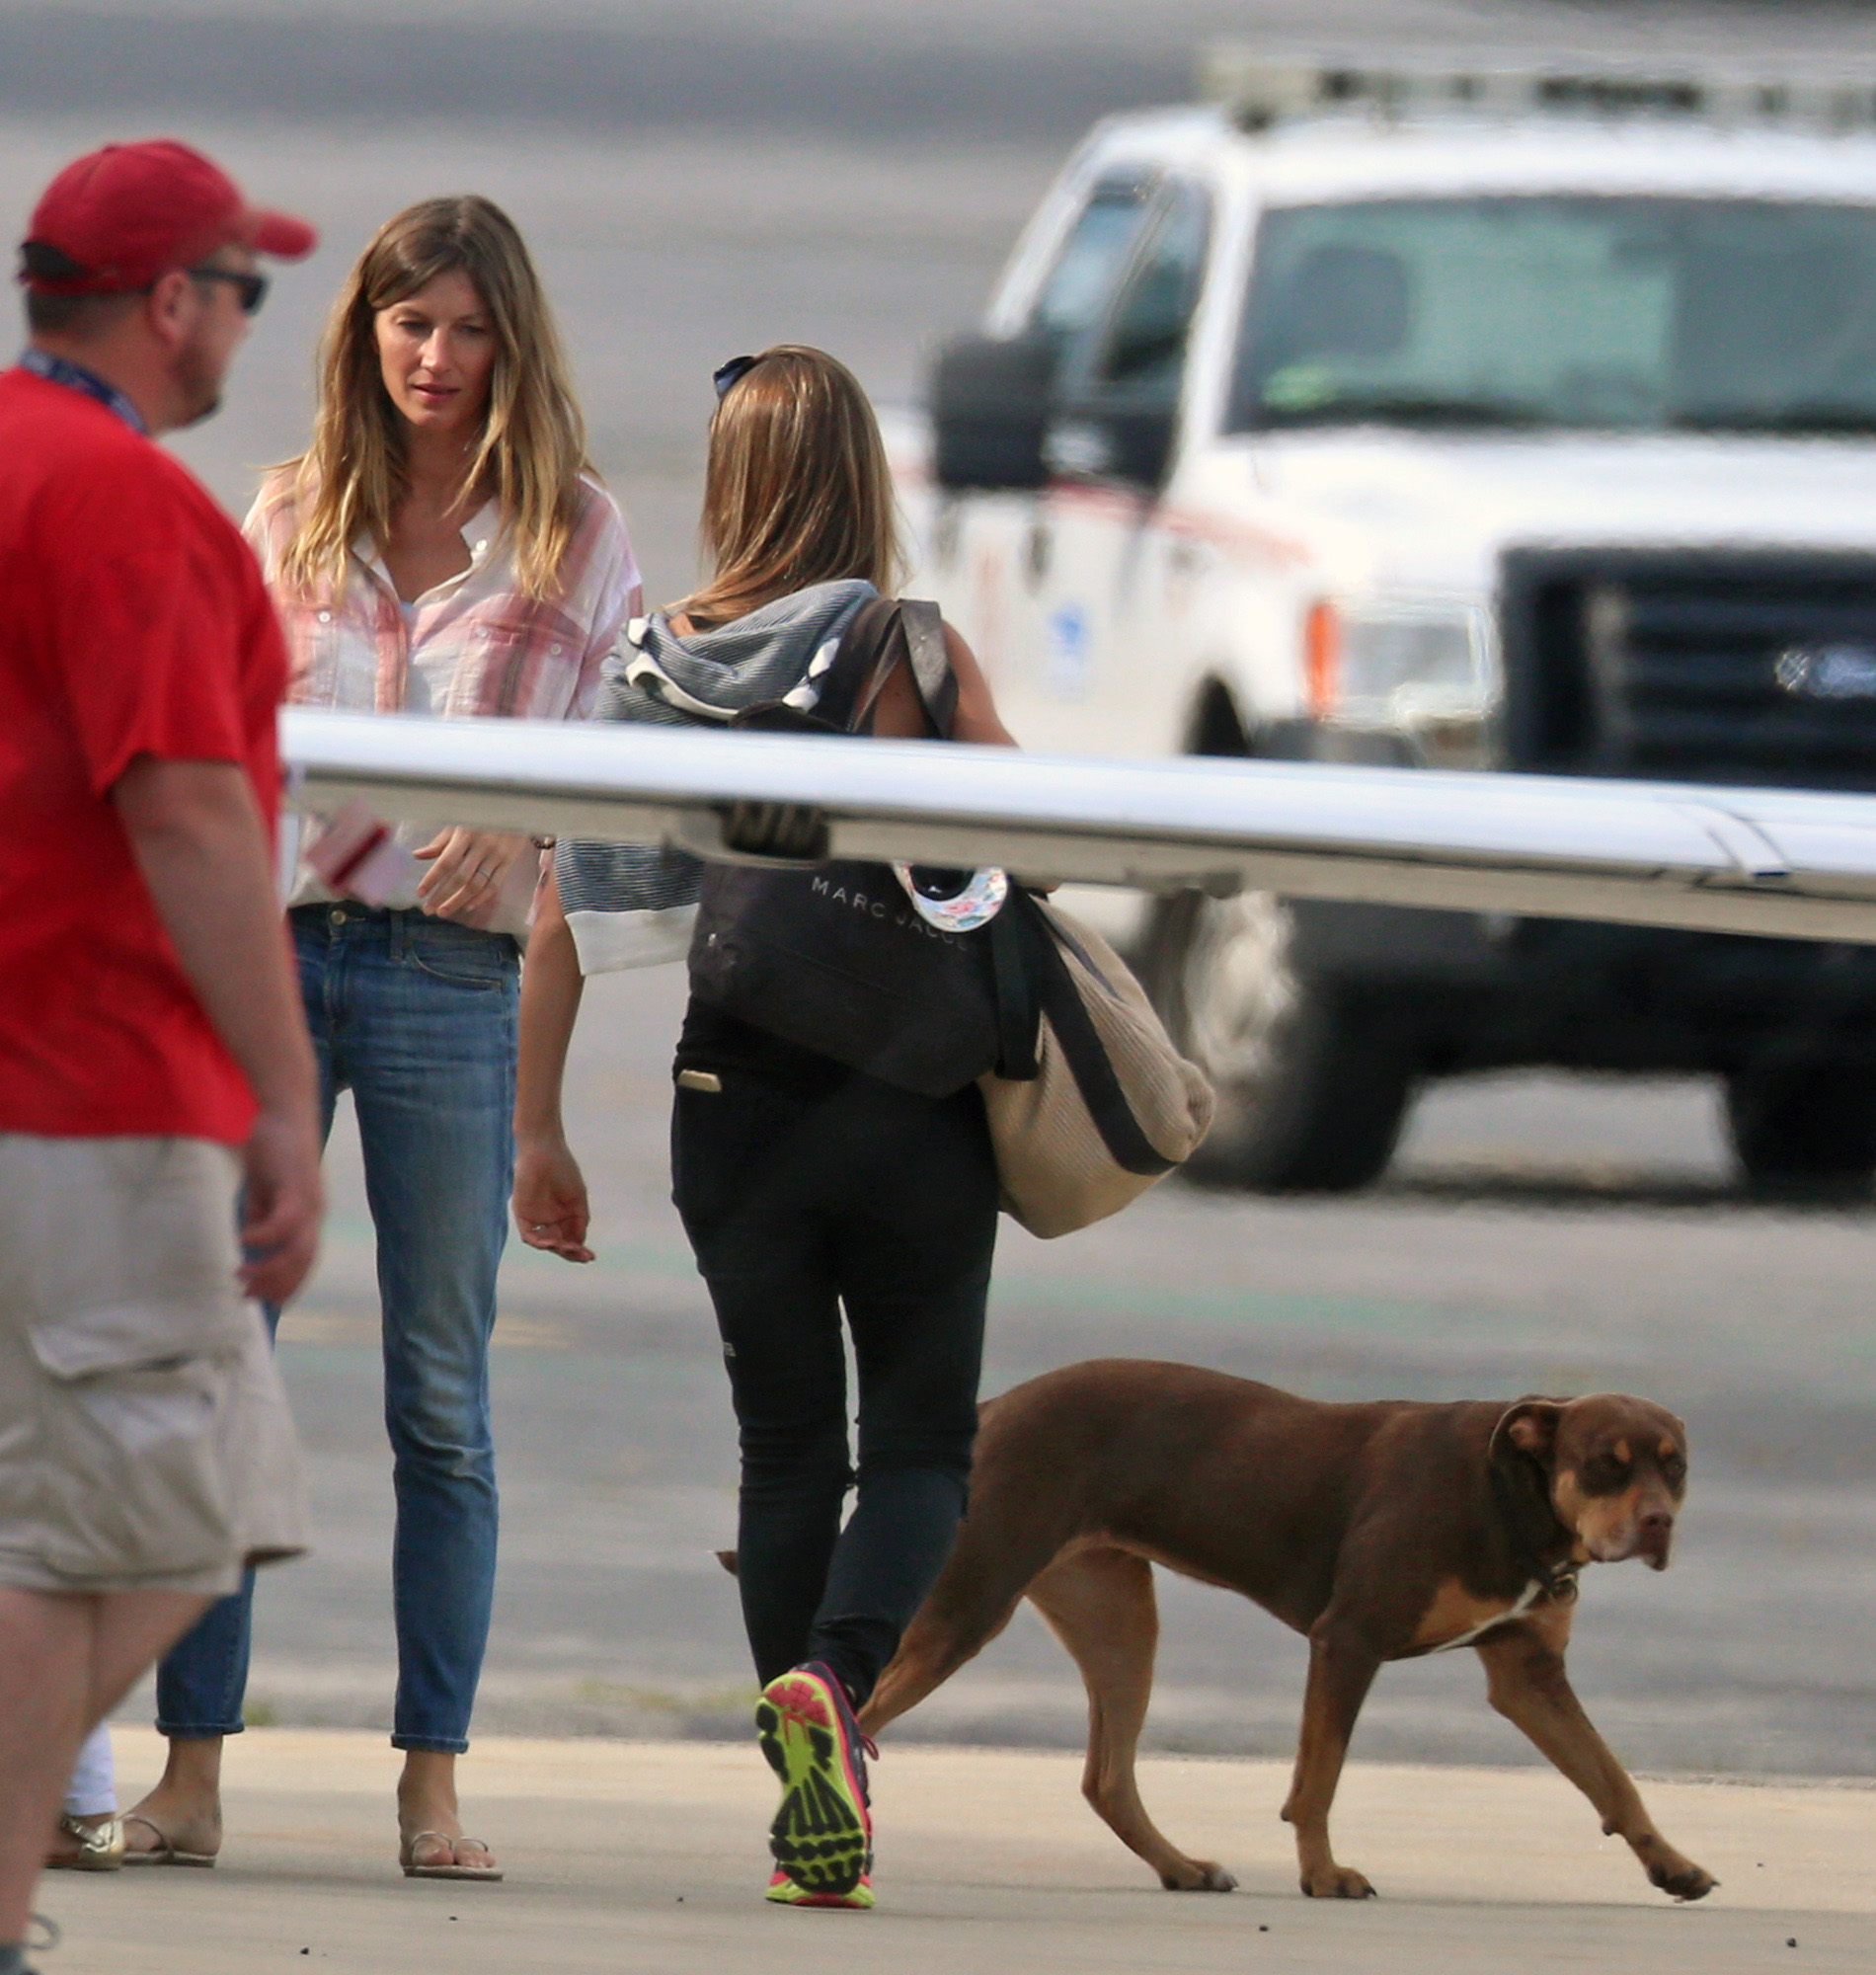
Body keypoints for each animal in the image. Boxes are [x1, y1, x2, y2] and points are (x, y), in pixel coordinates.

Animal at [858, 1358, 1712, 1903]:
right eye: (1605, 1464)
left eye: (1675, 1467)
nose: (1658, 1523)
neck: (1511, 1497)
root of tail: (994, 1408)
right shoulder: (1348, 1642)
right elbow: (1318, 1782)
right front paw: (1325, 1877)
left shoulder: (1528, 1676)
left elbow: (1612, 1777)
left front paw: (1672, 1865)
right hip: (966, 1608)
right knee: (848, 1712)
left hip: (1117, 1620)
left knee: (1106, 1777)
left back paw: (1183, 1867)